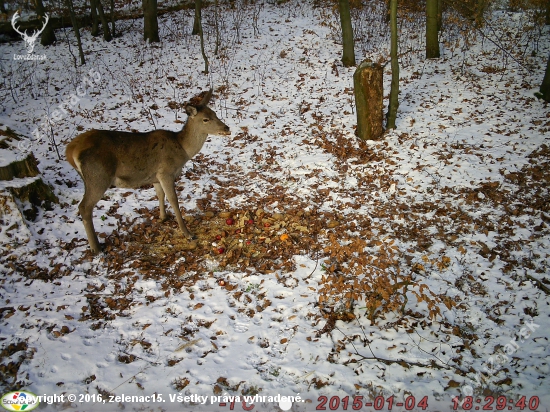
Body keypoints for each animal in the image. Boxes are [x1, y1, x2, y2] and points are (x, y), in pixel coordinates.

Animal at [66, 88, 231, 253]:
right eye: (205, 119)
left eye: (215, 113)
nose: (227, 128)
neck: (182, 150)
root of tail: (70, 150)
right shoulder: (166, 172)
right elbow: (174, 200)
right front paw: (187, 233)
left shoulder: (155, 176)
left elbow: (160, 194)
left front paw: (163, 217)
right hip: (98, 176)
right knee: (84, 207)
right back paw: (96, 247)